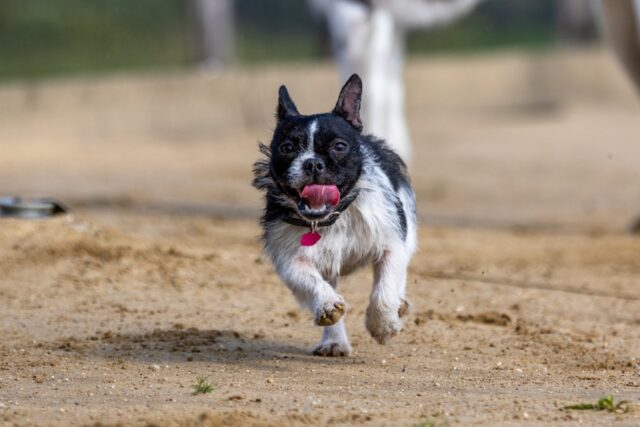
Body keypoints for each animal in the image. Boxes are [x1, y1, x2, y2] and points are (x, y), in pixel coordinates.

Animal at [252, 74, 418, 358]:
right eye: (287, 147)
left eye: (339, 146)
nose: (312, 163)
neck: (331, 217)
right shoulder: (290, 258)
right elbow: (308, 280)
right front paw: (327, 304)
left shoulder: (392, 244)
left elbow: (385, 288)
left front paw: (383, 325)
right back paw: (334, 341)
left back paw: (399, 306)